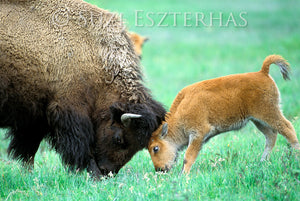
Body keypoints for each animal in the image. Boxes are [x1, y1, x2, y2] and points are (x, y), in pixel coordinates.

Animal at [0, 0, 166, 177]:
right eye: (119, 139)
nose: (107, 171)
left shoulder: (36, 117)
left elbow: (28, 149)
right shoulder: (70, 111)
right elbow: (80, 145)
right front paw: (93, 174)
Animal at [148, 55, 300, 174]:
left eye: (155, 148)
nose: (160, 169)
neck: (181, 111)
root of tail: (262, 72)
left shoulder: (198, 134)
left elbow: (188, 156)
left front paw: (184, 175)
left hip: (269, 113)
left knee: (288, 129)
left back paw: (296, 156)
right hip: (258, 120)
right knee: (271, 136)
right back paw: (262, 161)